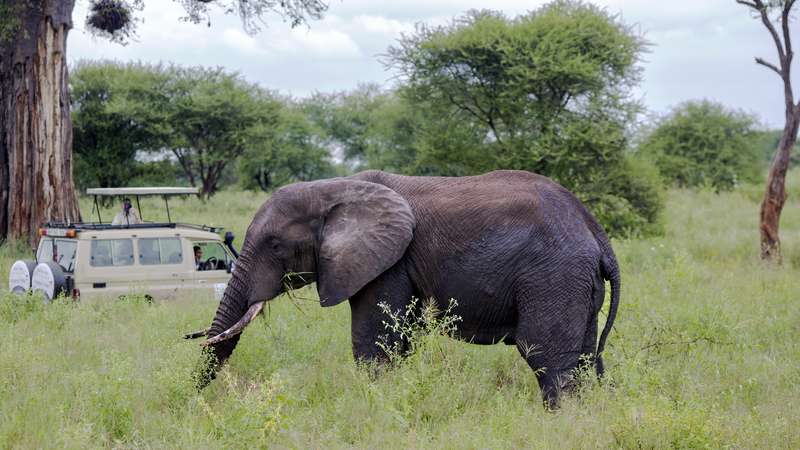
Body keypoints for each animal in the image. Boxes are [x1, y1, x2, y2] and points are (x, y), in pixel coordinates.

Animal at [194, 169, 620, 408]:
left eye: (275, 246)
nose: (196, 402)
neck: (333, 189)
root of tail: (595, 230)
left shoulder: (389, 262)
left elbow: (374, 343)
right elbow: (397, 343)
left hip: (553, 276)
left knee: (547, 357)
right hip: (575, 281)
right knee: (583, 359)